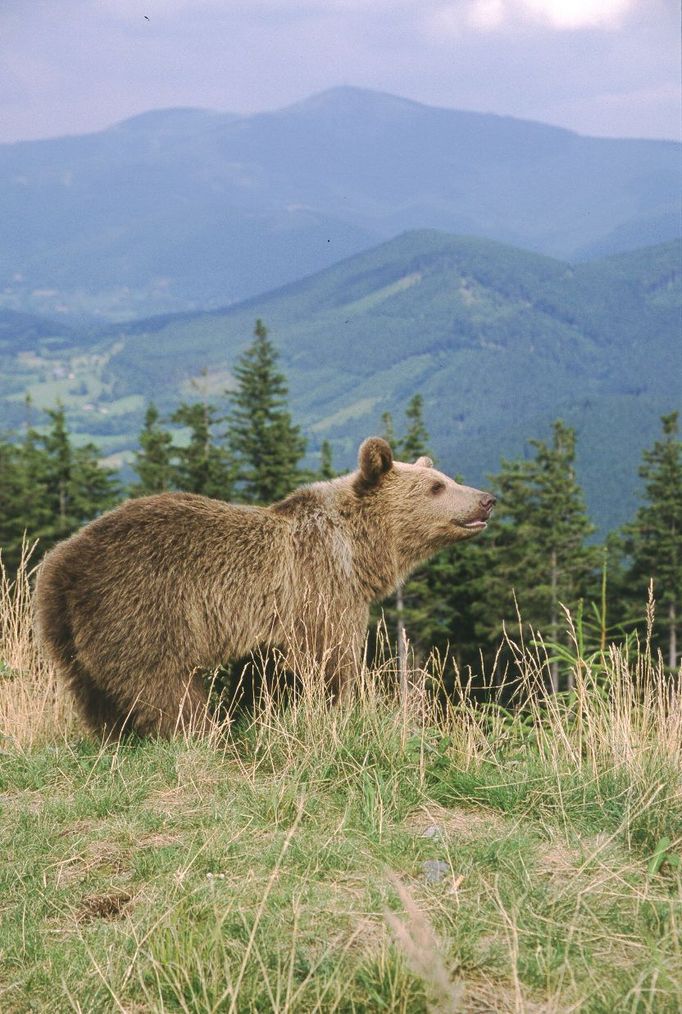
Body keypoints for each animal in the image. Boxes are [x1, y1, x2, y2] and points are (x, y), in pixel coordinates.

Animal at [34, 436, 494, 738]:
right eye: (437, 486)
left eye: (444, 477)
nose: (487, 499)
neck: (359, 550)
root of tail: (64, 565)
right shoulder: (320, 588)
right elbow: (333, 658)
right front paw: (347, 708)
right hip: (142, 608)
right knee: (162, 686)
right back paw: (207, 734)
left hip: (66, 629)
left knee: (90, 690)